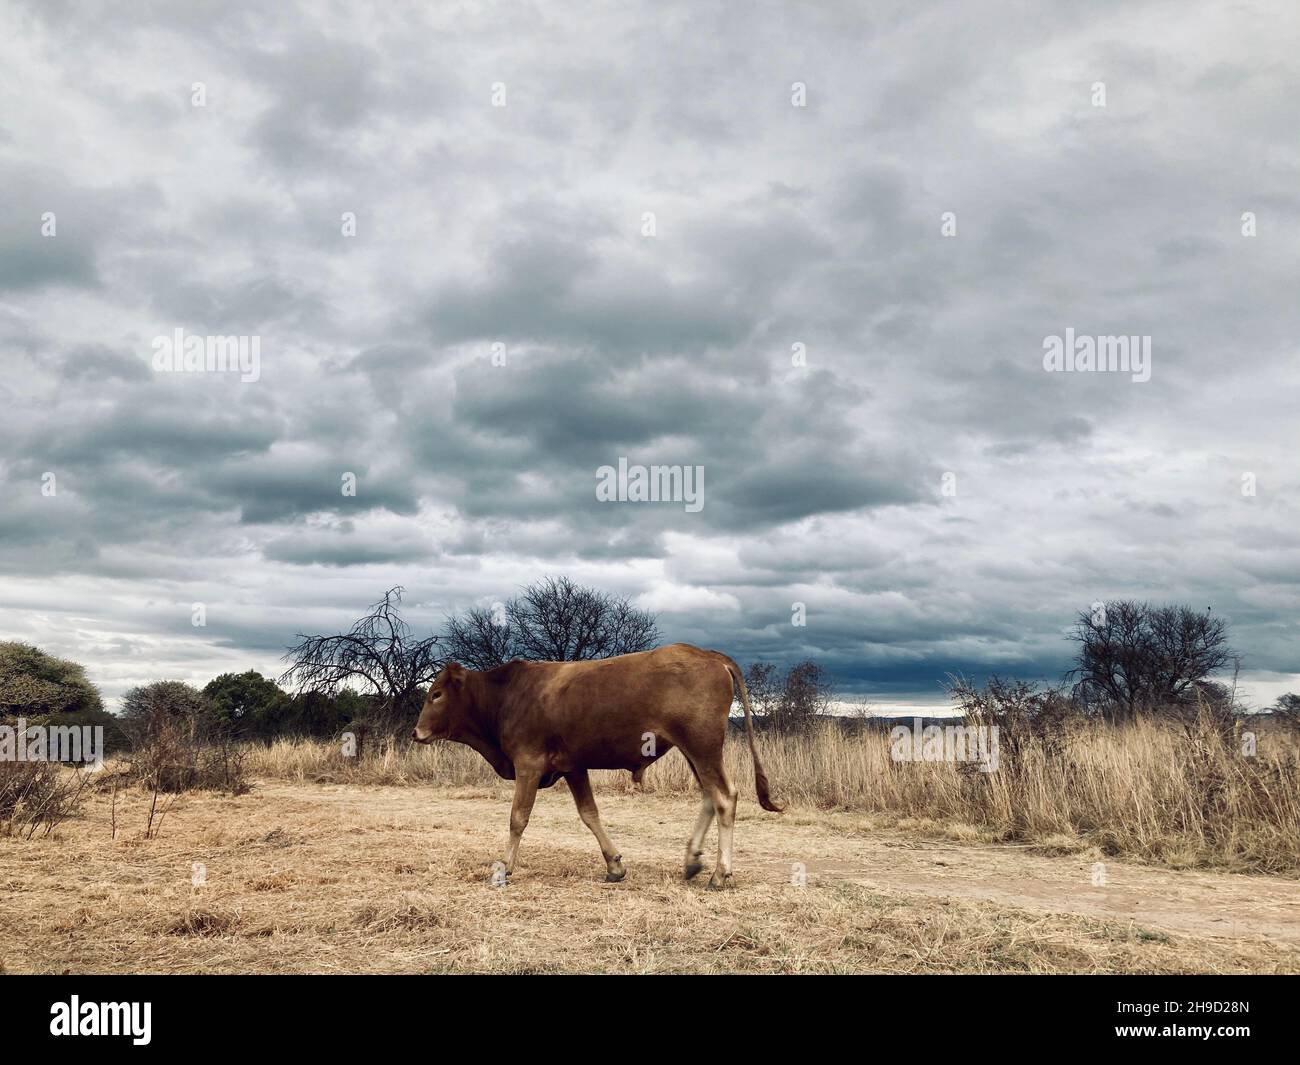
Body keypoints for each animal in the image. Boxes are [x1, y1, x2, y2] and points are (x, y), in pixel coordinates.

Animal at [413, 644, 780, 889]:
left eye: (436, 694)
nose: (416, 732)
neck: (505, 695)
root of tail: (711, 655)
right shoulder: (574, 767)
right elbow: (590, 814)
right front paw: (614, 865)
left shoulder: (528, 764)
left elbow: (518, 818)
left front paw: (504, 868)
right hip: (694, 751)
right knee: (709, 797)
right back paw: (692, 860)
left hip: (702, 747)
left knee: (724, 798)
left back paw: (719, 873)